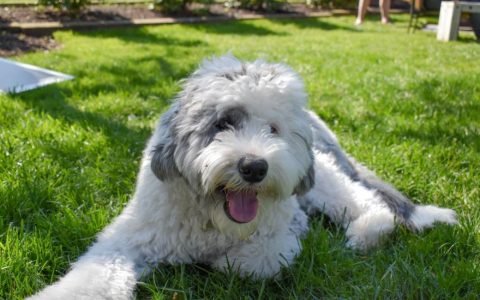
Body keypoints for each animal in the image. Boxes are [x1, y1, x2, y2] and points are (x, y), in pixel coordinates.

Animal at [29, 55, 458, 298]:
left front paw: (220, 262)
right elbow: (94, 274)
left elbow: (250, 261)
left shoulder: (285, 232)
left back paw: (367, 232)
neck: (211, 219)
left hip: (322, 180)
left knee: (365, 202)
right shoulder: (128, 237)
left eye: (273, 129)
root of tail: (317, 122)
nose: (254, 167)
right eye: (223, 123)